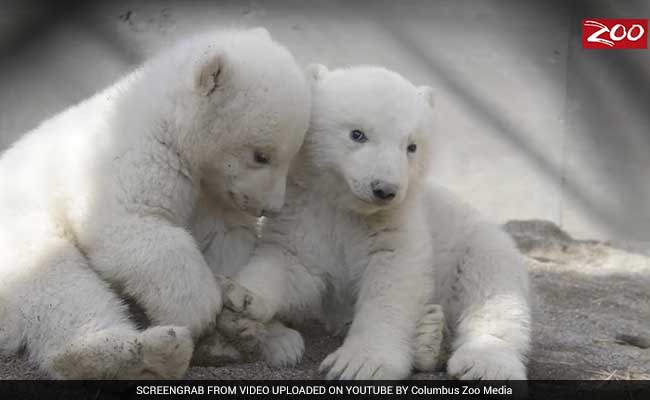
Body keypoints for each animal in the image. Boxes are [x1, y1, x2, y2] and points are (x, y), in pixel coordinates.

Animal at [0, 28, 311, 379]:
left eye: (291, 155)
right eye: (261, 156)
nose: (270, 208)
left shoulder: (217, 194)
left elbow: (227, 243)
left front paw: (270, 332)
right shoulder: (134, 156)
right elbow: (130, 224)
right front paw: (200, 307)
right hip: (22, 222)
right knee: (57, 282)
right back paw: (142, 350)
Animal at [229, 65, 531, 380]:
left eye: (411, 146)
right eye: (357, 134)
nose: (385, 189)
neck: (348, 206)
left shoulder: (396, 223)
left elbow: (391, 282)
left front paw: (358, 364)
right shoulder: (307, 213)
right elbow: (292, 262)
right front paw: (244, 297)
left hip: (476, 243)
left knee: (492, 290)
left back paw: (482, 363)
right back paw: (428, 336)